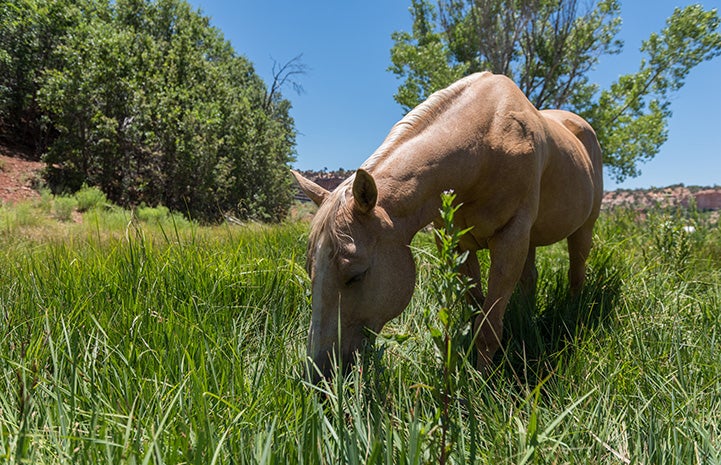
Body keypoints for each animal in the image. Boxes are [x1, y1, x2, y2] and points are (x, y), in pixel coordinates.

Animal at [292, 70, 600, 380]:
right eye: (310, 270)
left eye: (355, 275)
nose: (318, 373)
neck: (487, 142)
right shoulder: (455, 243)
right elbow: (476, 309)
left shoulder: (510, 238)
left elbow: (488, 328)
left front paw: (482, 384)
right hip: (530, 239)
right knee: (530, 278)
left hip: (583, 229)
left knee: (576, 272)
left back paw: (572, 313)